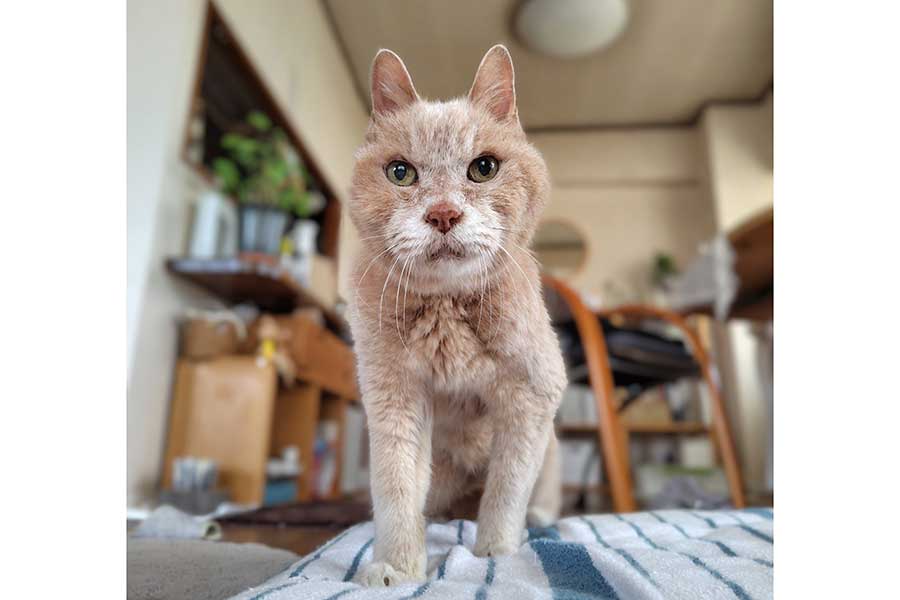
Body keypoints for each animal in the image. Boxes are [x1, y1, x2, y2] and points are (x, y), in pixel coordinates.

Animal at [346, 45, 566, 587]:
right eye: (400, 172)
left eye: (483, 168)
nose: (443, 213)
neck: (448, 309)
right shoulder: (394, 397)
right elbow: (397, 487)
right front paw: (397, 568)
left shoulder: (533, 397)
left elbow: (507, 490)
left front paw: (495, 555)